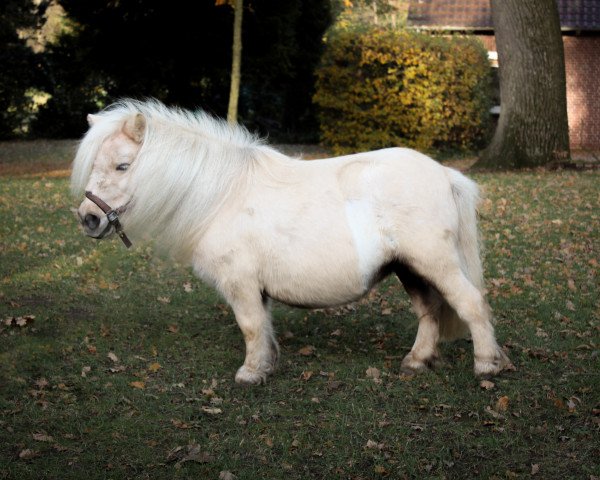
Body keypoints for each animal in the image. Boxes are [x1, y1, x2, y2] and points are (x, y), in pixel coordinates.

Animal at [71, 99, 510, 384]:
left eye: (122, 165)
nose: (89, 218)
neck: (223, 194)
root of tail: (445, 174)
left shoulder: (240, 284)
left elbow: (250, 326)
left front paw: (249, 374)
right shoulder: (256, 289)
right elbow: (263, 327)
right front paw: (265, 366)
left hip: (435, 262)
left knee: (470, 304)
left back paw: (487, 365)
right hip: (409, 268)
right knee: (430, 312)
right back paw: (417, 361)